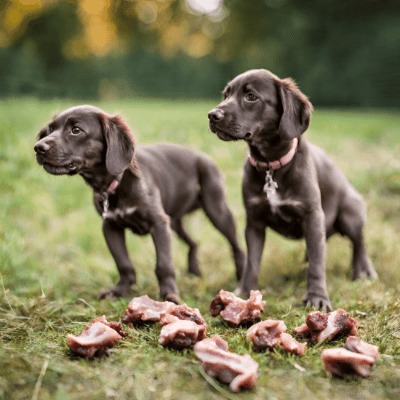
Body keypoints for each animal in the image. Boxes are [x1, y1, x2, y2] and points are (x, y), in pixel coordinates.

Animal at [34, 104, 245, 302]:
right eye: (50, 130)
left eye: (76, 130)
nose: (38, 147)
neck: (114, 184)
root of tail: (204, 157)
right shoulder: (111, 227)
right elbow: (123, 263)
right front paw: (119, 291)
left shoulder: (158, 224)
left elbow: (164, 264)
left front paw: (170, 296)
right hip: (174, 222)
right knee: (194, 243)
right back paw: (194, 272)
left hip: (216, 210)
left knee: (236, 247)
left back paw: (241, 276)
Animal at [208, 69, 376, 312]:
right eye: (225, 94)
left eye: (251, 96)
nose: (212, 115)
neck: (271, 165)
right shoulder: (254, 222)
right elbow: (252, 262)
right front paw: (244, 292)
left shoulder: (312, 215)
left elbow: (317, 264)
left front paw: (317, 297)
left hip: (350, 213)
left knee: (359, 244)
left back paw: (364, 272)